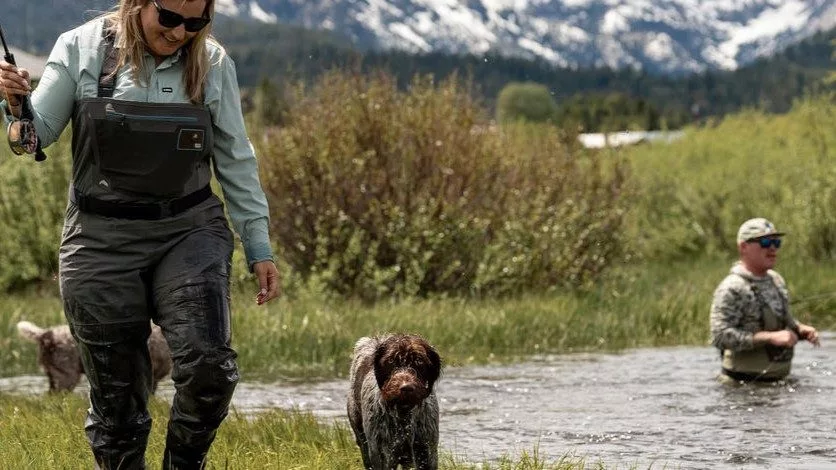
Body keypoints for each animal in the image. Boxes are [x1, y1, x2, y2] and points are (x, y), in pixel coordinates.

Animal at [346, 334, 444, 470]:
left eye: (419, 361)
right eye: (391, 361)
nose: (406, 387)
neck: (404, 413)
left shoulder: (426, 452)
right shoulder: (382, 455)